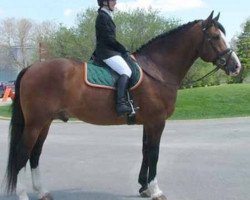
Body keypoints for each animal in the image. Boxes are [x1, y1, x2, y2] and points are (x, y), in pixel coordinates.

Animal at [4, 11, 241, 200]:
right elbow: (154, 153)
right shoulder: (157, 122)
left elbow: (145, 152)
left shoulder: (149, 123)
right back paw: (23, 194)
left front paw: (144, 187)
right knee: (22, 154)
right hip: (35, 124)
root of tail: (31, 67)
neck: (157, 69)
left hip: (44, 124)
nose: (237, 66)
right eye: (215, 37)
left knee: (35, 155)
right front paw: (156, 191)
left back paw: (42, 192)